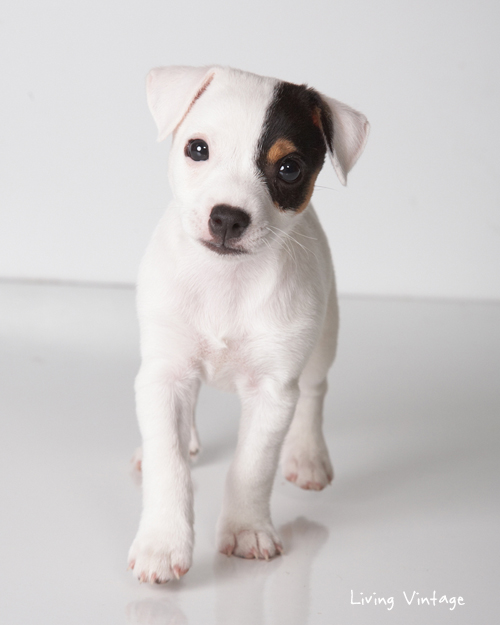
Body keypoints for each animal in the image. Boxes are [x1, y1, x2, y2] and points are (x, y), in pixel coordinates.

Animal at [128, 66, 372, 584]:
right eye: (198, 148)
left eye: (289, 168)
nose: (227, 217)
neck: (227, 282)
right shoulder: (163, 374)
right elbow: (168, 462)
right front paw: (162, 542)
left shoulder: (273, 391)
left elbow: (252, 466)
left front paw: (245, 530)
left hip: (324, 336)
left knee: (315, 390)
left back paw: (308, 455)